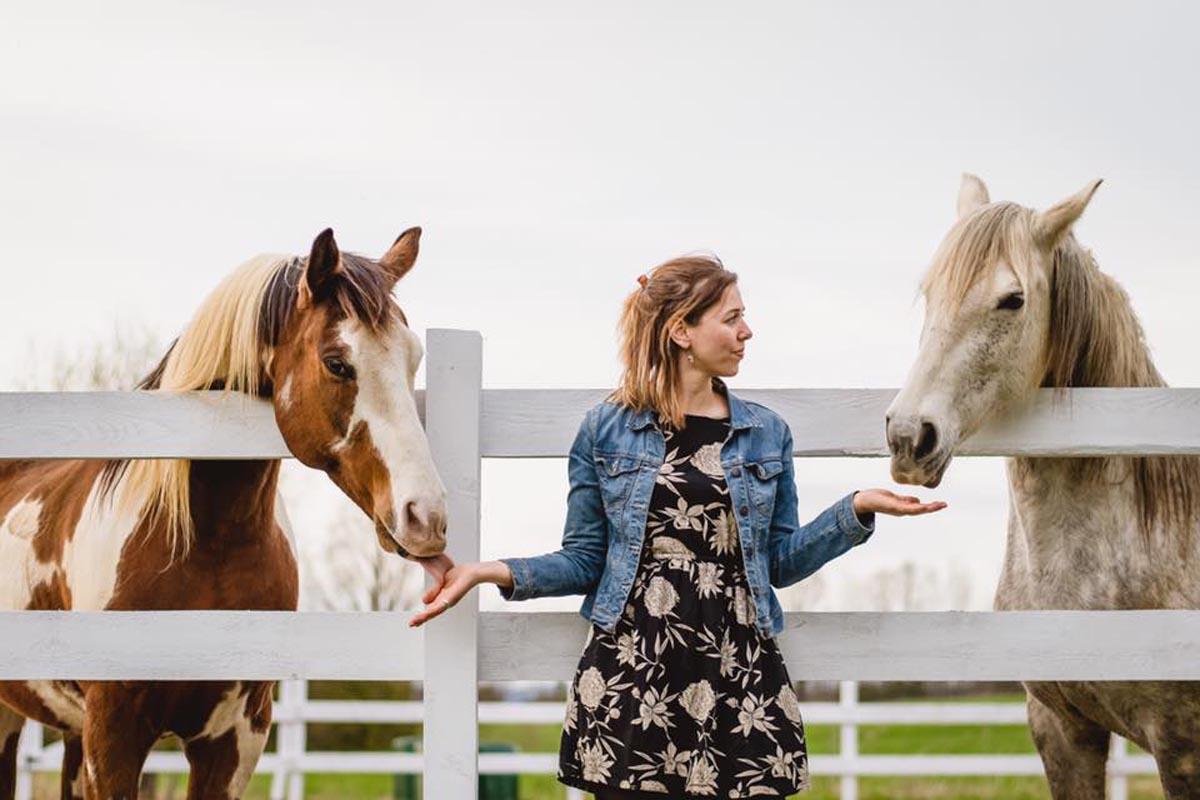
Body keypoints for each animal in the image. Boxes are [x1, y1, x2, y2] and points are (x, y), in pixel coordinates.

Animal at [0, 227, 446, 796]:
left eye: (413, 359)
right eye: (336, 362)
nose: (425, 515)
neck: (207, 544)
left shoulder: (235, 738)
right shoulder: (114, 737)